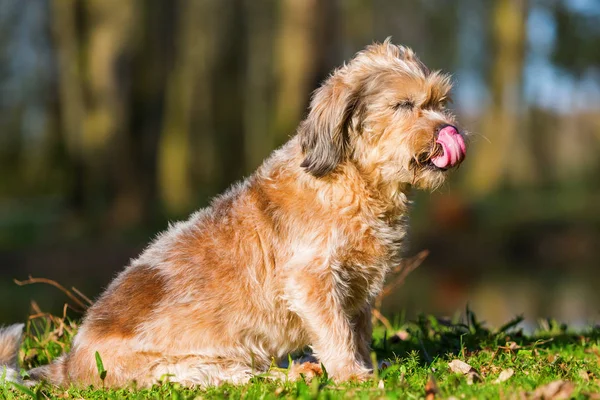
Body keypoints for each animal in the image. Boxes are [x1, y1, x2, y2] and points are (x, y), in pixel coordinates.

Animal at [0, 39, 466, 388]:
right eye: (403, 105)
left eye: (440, 101)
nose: (451, 129)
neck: (353, 182)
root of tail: (70, 363)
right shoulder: (314, 282)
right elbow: (336, 332)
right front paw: (353, 376)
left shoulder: (359, 287)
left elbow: (359, 330)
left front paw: (367, 365)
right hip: (190, 368)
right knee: (246, 379)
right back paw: (296, 375)